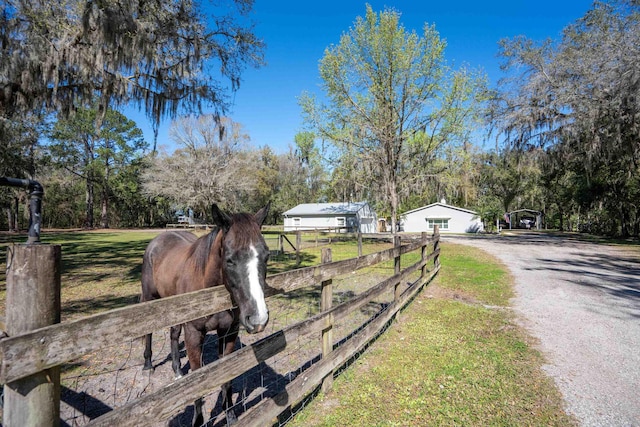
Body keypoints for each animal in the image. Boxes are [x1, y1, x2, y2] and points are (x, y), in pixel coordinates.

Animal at [140, 202, 270, 426]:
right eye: (229, 260)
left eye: (266, 256)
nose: (258, 319)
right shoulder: (194, 334)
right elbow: (198, 382)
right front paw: (198, 421)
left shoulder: (228, 333)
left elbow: (226, 378)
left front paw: (230, 415)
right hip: (150, 299)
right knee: (148, 332)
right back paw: (148, 364)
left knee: (174, 334)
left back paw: (177, 371)